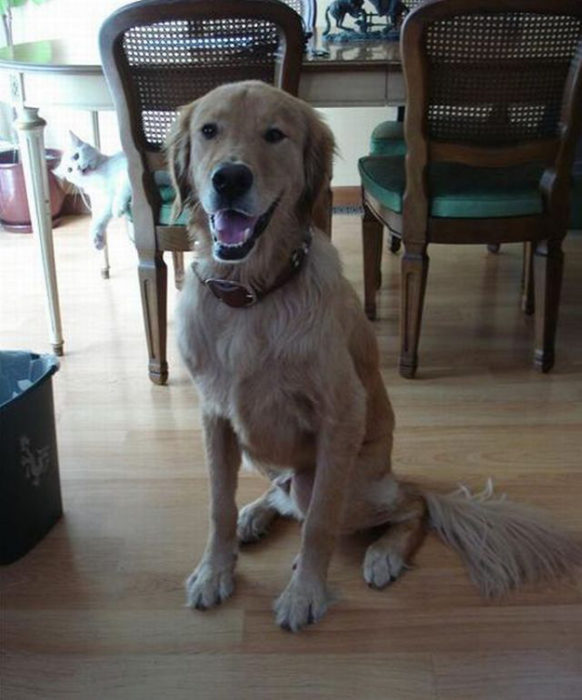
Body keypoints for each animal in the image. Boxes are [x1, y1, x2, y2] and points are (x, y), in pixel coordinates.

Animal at [167, 79, 580, 632]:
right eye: (209, 130)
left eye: (275, 134)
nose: (229, 178)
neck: (252, 295)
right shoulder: (215, 417)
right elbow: (218, 505)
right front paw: (215, 570)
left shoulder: (339, 417)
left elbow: (319, 524)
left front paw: (305, 593)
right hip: (265, 457)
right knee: (284, 496)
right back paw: (256, 514)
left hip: (342, 482)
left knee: (409, 505)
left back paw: (384, 553)